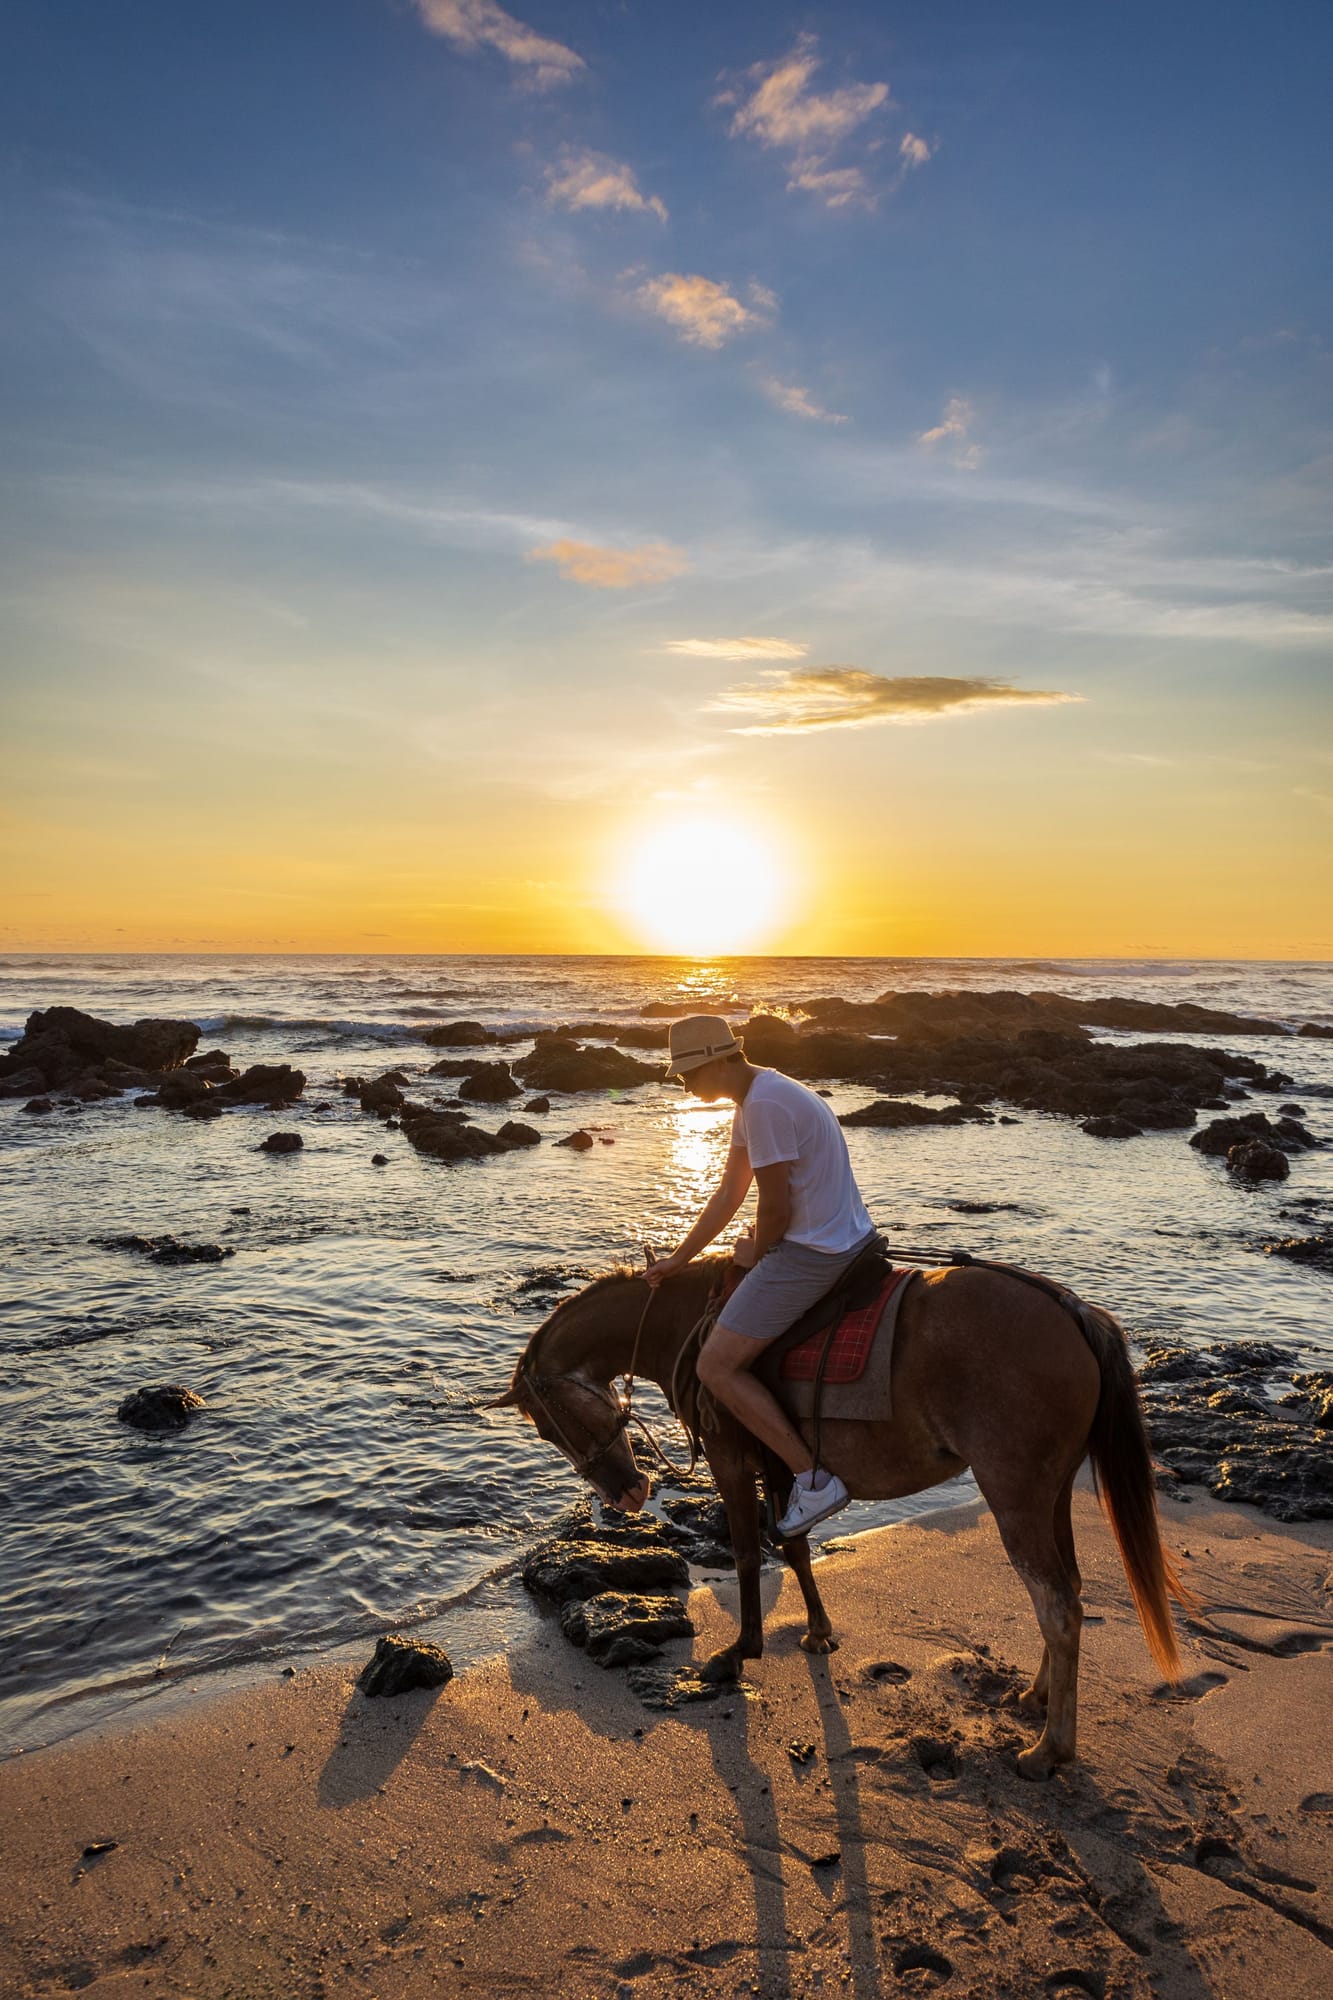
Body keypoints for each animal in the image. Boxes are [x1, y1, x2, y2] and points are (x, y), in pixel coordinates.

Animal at [491, 1254, 1192, 1780]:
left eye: (545, 1425)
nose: (628, 1493)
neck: (686, 1320)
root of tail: (1071, 1311)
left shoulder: (730, 1457)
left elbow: (746, 1550)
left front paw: (740, 1651)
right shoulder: (779, 1465)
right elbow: (794, 1546)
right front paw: (819, 1630)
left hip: (1015, 1492)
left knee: (1057, 1604)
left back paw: (1050, 1749)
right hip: (1052, 1493)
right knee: (1065, 1591)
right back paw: (1038, 1698)